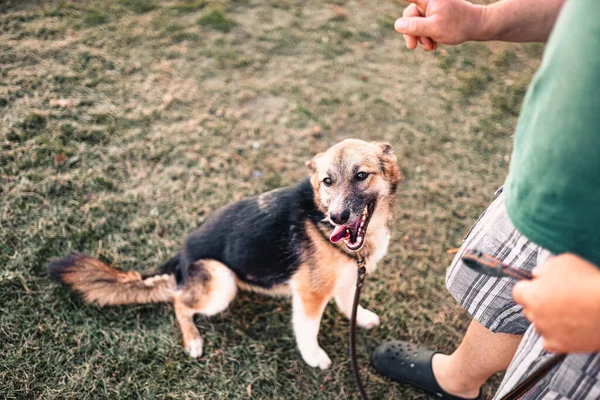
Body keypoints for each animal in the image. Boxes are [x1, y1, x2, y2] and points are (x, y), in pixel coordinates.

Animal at [49, 139, 400, 370]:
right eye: (327, 181)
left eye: (361, 175)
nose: (338, 217)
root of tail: (181, 255)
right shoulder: (310, 295)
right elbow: (308, 329)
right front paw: (313, 356)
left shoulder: (348, 275)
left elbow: (347, 303)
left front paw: (361, 317)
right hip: (222, 281)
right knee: (179, 302)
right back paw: (192, 339)